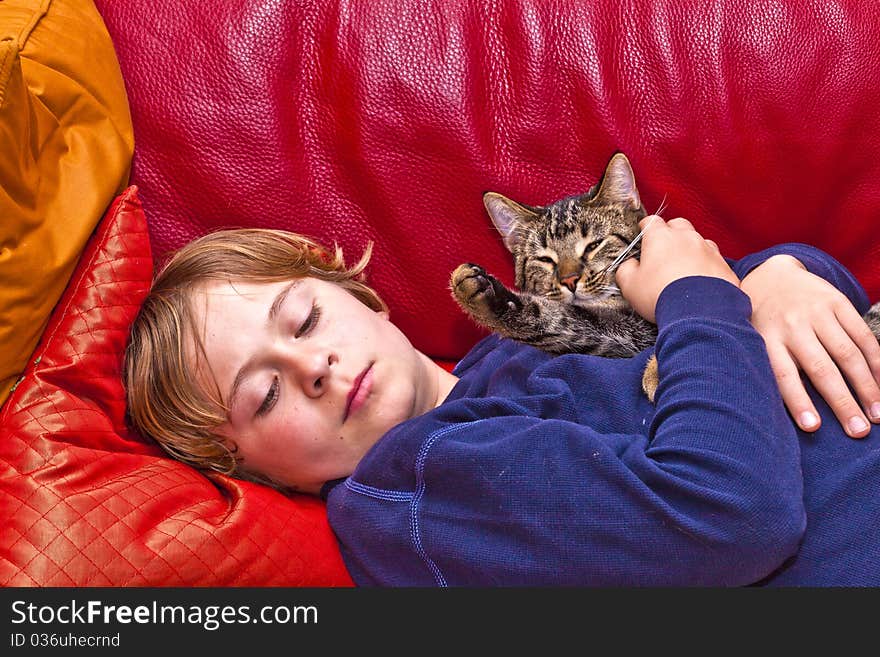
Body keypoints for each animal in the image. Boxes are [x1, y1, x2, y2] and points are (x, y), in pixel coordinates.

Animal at [450, 153, 880, 400]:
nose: (570, 281)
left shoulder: (633, 330)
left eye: (593, 245)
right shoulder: (619, 332)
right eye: (544, 259)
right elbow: (557, 318)